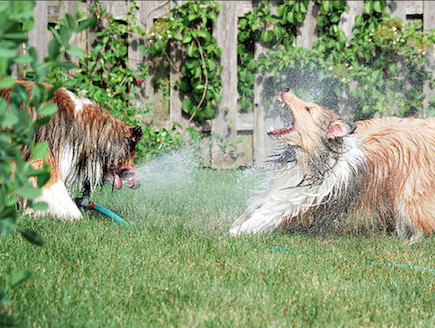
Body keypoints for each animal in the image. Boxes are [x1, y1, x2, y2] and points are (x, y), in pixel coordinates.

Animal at [230, 88, 434, 240]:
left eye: (308, 109)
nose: (286, 89)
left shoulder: (293, 197)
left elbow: (264, 214)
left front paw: (235, 232)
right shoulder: (281, 184)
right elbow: (255, 207)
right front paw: (237, 223)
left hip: (409, 195)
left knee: (423, 222)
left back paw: (410, 241)